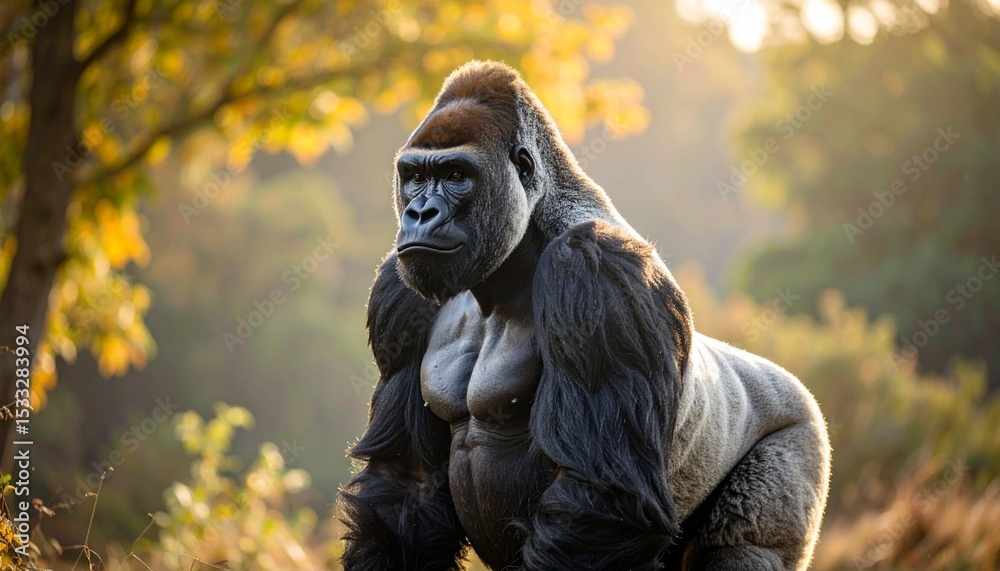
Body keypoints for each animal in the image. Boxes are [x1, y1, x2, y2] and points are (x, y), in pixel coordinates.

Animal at [339, 60, 830, 570]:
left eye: (456, 174)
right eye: (414, 176)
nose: (420, 212)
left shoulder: (596, 271)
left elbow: (601, 499)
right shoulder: (399, 291)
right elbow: (404, 482)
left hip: (799, 433)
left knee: (744, 542)